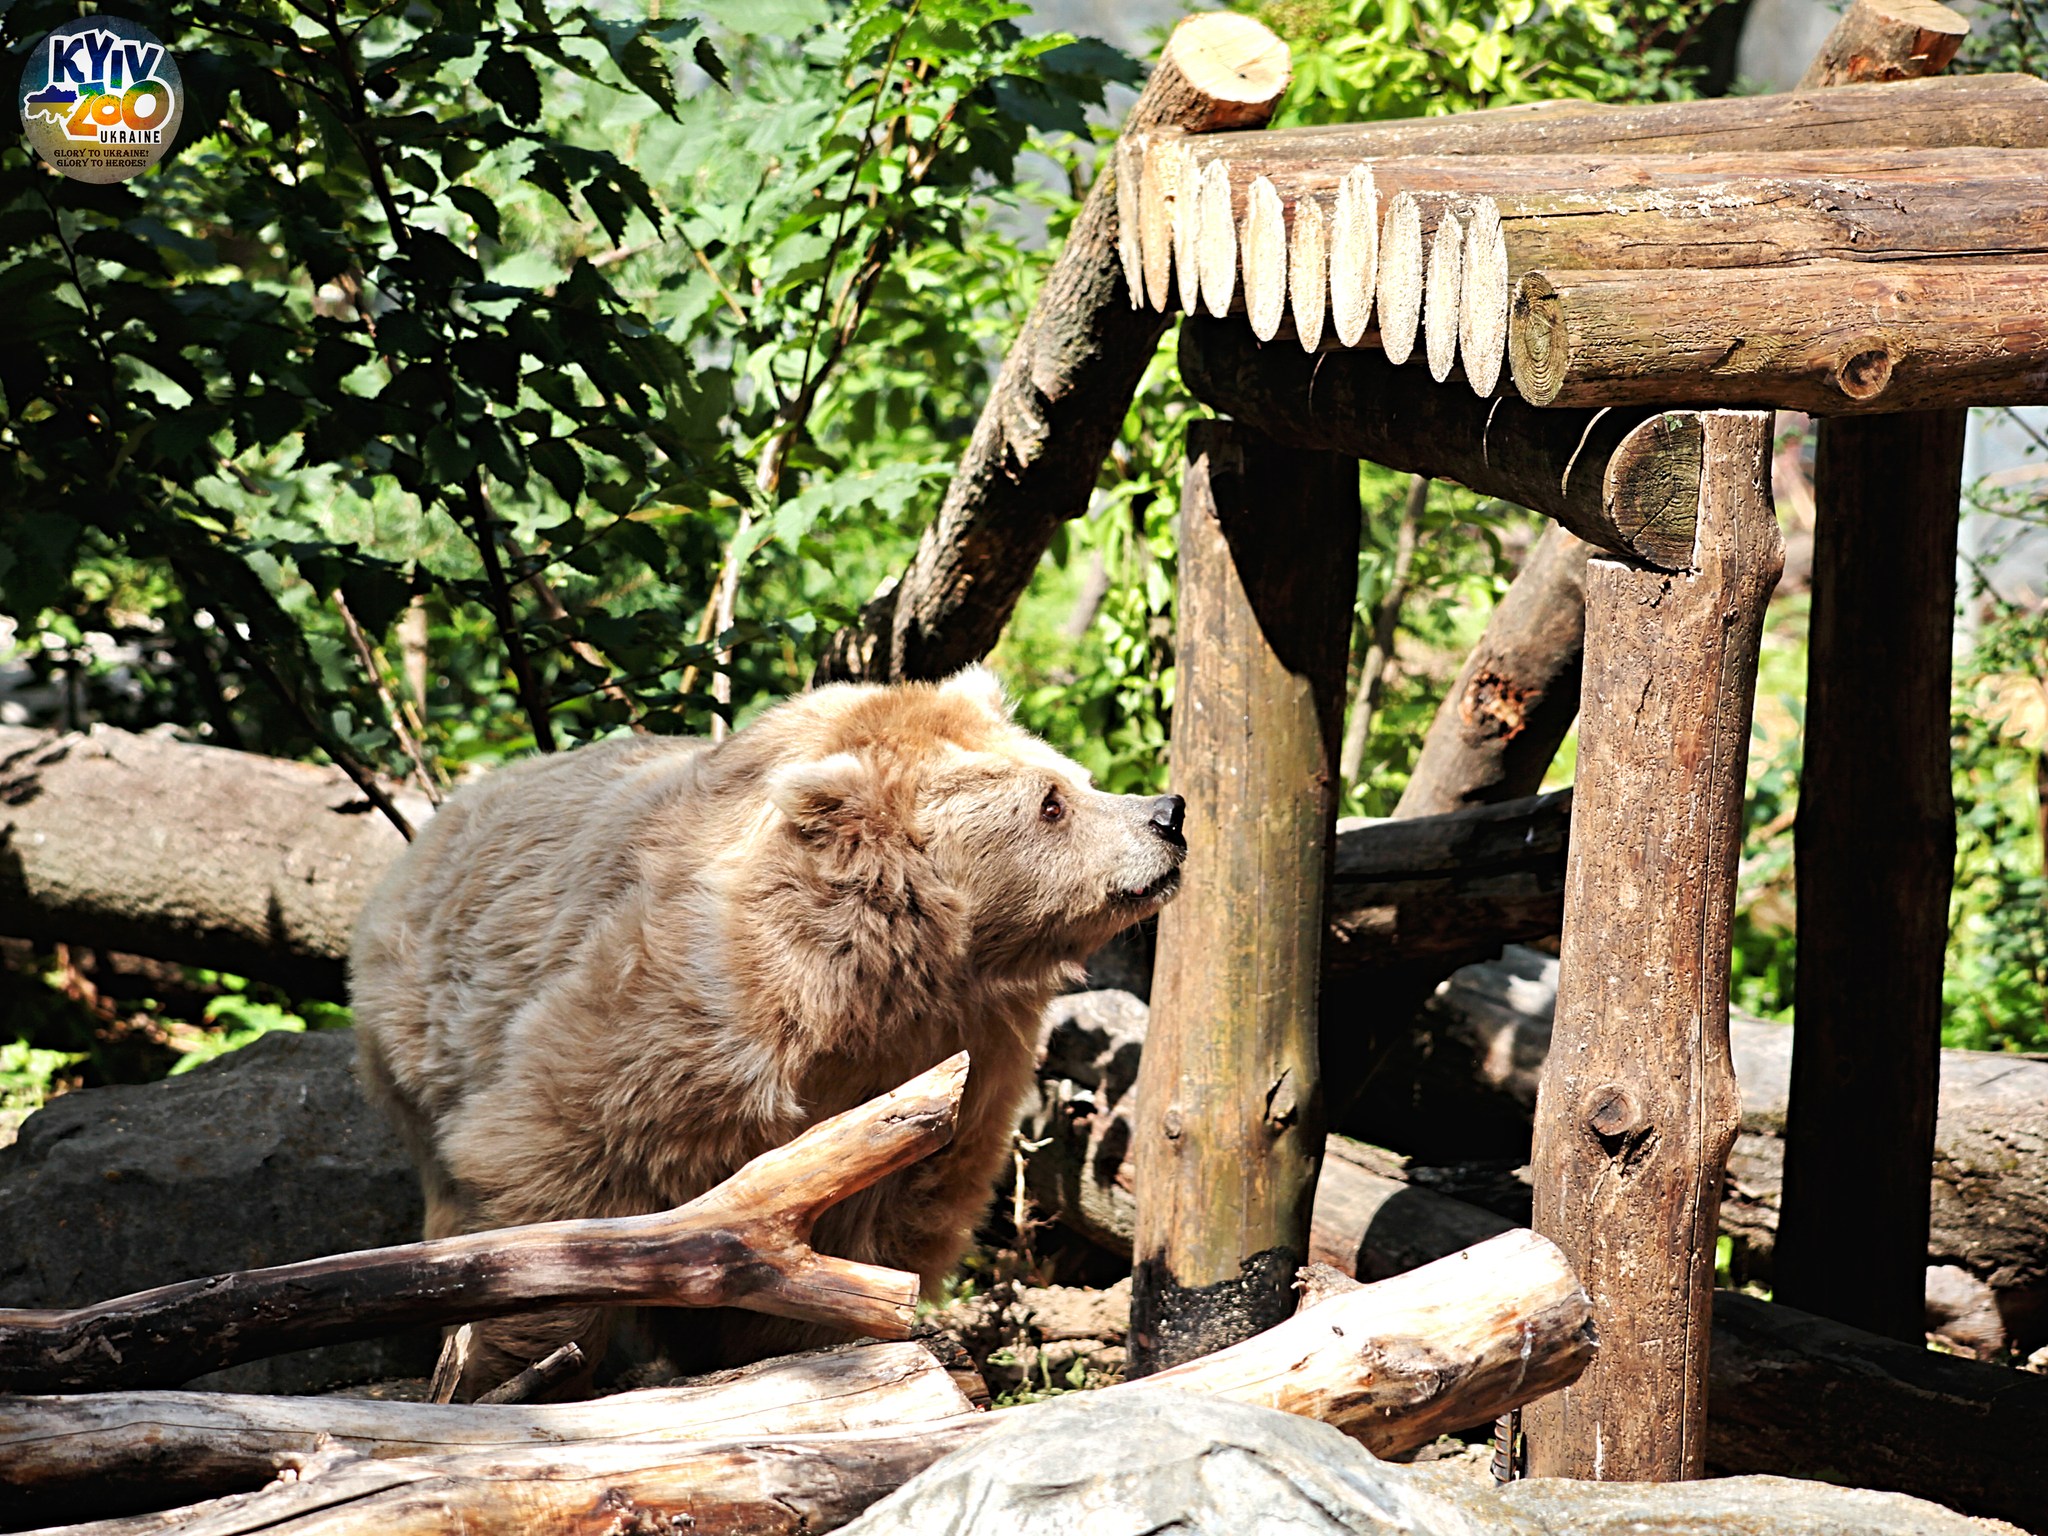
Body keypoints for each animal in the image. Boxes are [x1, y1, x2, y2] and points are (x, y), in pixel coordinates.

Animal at [350, 667, 1187, 1400]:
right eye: (1052, 803)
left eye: (1075, 776)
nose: (1168, 812)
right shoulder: (688, 1009)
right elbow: (558, 1151)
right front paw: (520, 1362)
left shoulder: (961, 1049)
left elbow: (885, 1207)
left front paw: (811, 1344)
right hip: (419, 1033)